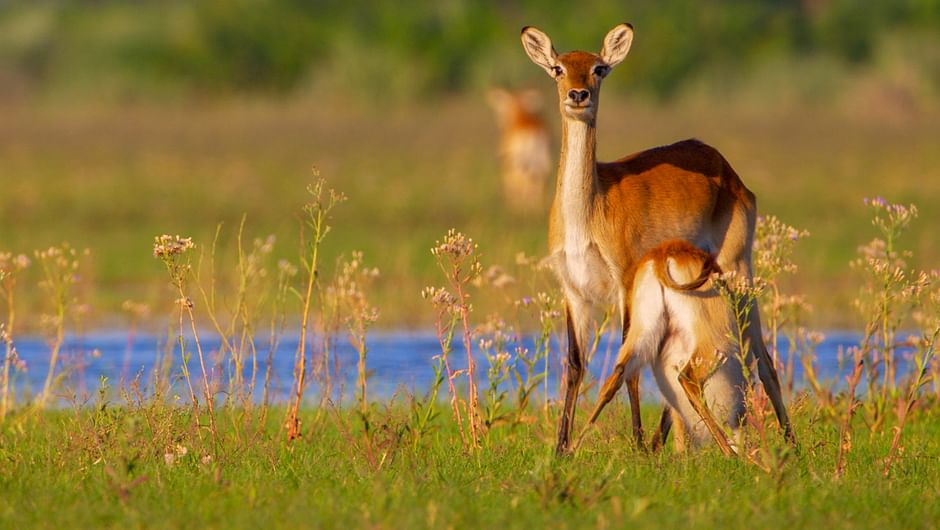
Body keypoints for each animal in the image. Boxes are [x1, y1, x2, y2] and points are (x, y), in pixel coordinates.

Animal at [576, 240, 744, 454]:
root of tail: (664, 253)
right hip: (713, 346)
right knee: (687, 379)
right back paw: (730, 454)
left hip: (642, 334)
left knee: (616, 376)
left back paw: (569, 450)